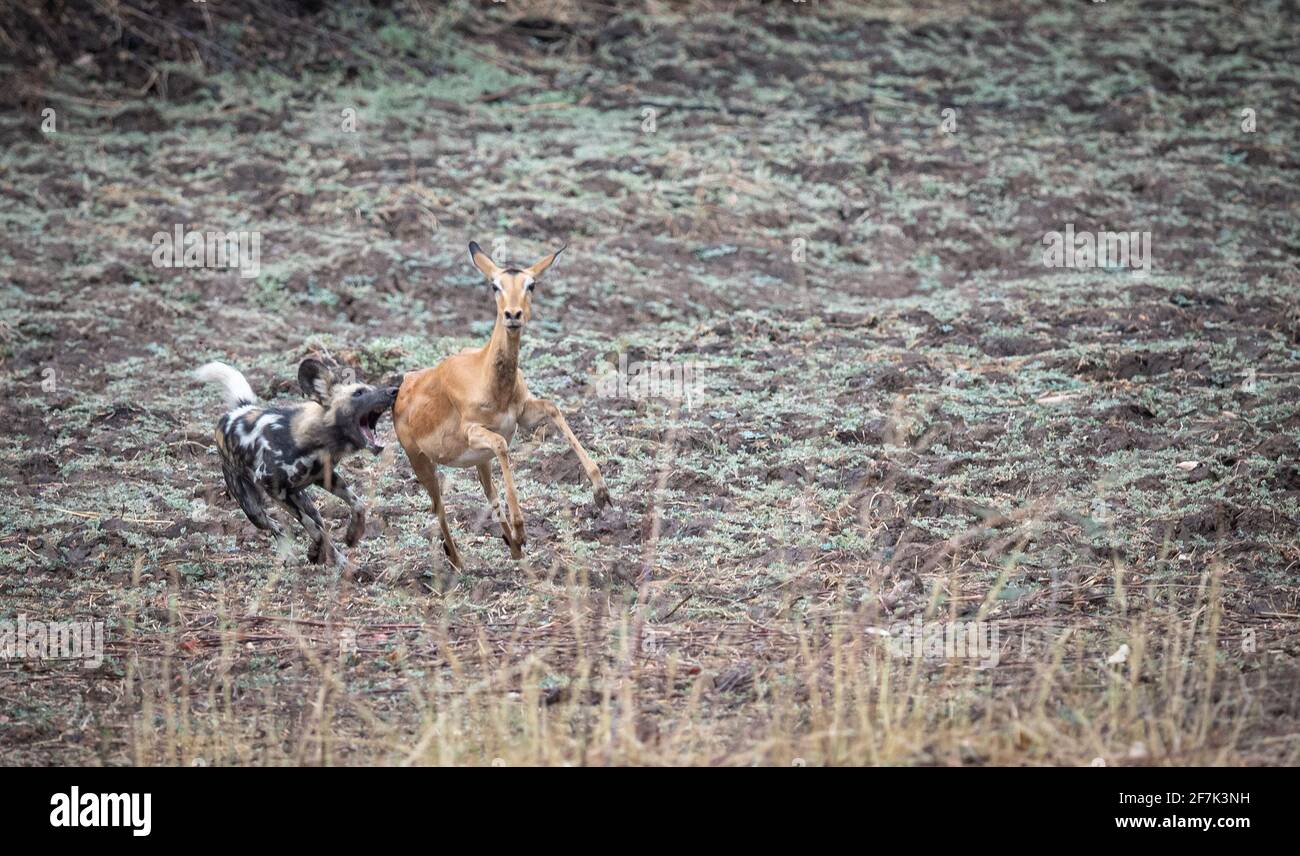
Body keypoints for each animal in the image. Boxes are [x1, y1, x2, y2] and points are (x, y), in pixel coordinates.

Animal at [393, 241, 612, 569]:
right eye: (494, 285)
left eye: (531, 284)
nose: (513, 314)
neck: (488, 377)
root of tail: (404, 386)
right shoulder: (474, 432)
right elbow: (503, 445)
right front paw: (521, 529)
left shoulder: (522, 416)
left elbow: (553, 407)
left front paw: (601, 492)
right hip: (422, 462)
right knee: (439, 507)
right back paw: (459, 560)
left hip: (478, 461)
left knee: (489, 493)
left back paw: (513, 548)